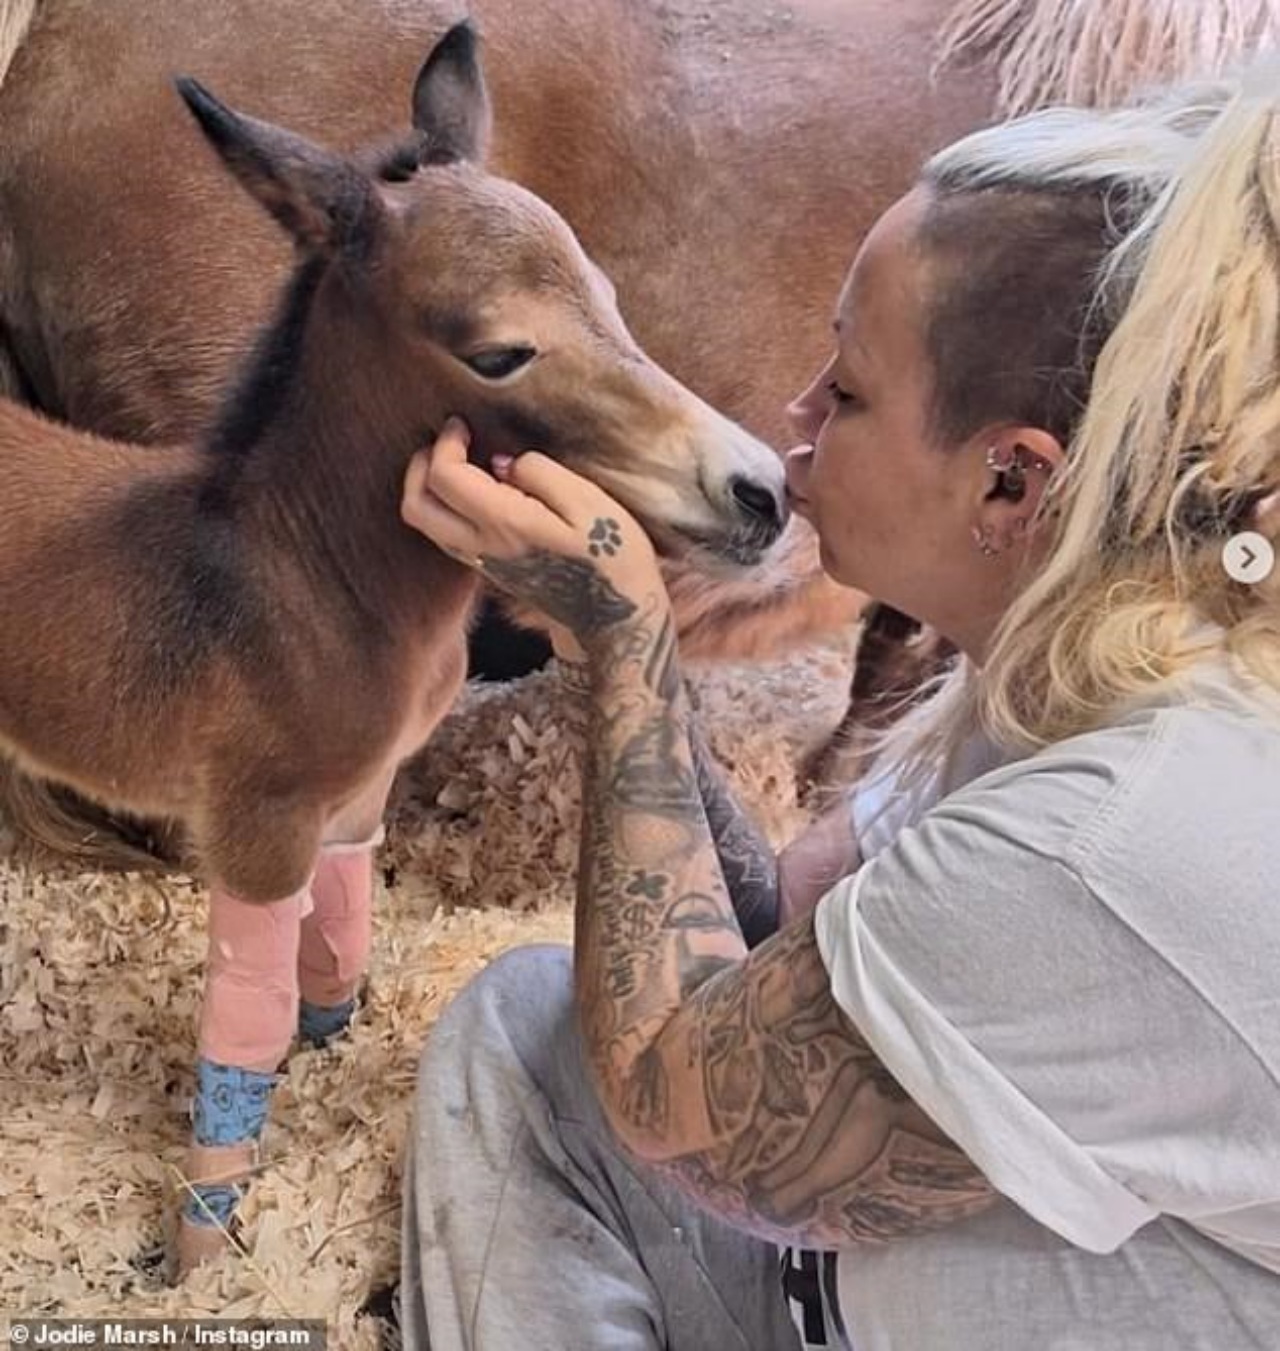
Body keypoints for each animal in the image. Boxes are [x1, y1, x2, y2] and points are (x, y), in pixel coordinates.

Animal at [0, 21, 783, 1269]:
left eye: (605, 294)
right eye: (500, 352)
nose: (760, 491)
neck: (303, 576)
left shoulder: (356, 799)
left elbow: (339, 943)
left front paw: (334, 1045)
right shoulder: (257, 827)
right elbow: (248, 1017)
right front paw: (200, 1251)